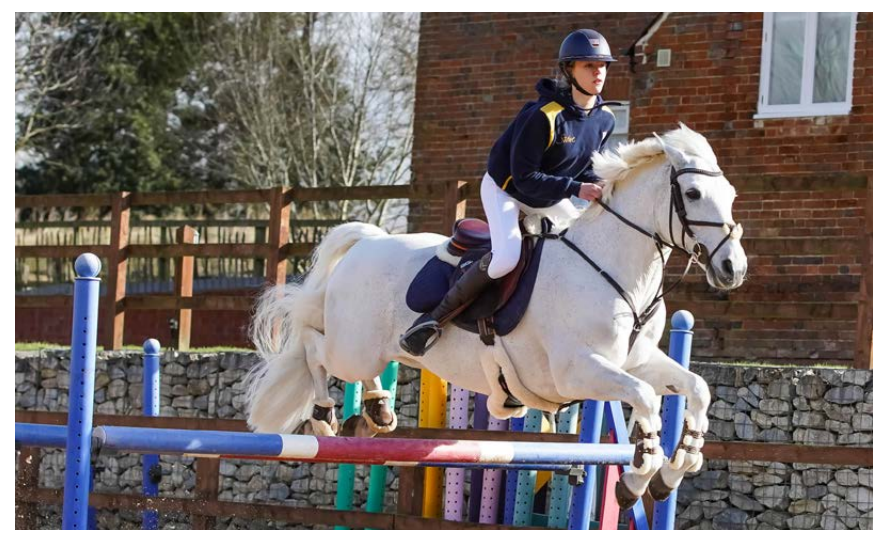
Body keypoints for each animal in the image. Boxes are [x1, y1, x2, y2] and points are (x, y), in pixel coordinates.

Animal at [245, 125, 748, 510]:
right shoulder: (577, 372)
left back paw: (377, 410)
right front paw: (639, 475)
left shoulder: (634, 362)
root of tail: (369, 241)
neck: (613, 266)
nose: (733, 269)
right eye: (693, 193)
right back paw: (325, 415)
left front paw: (677, 467)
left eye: (730, 194)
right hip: (351, 348)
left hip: (367, 348)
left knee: (354, 362)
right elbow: (644, 399)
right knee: (313, 346)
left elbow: (696, 388)